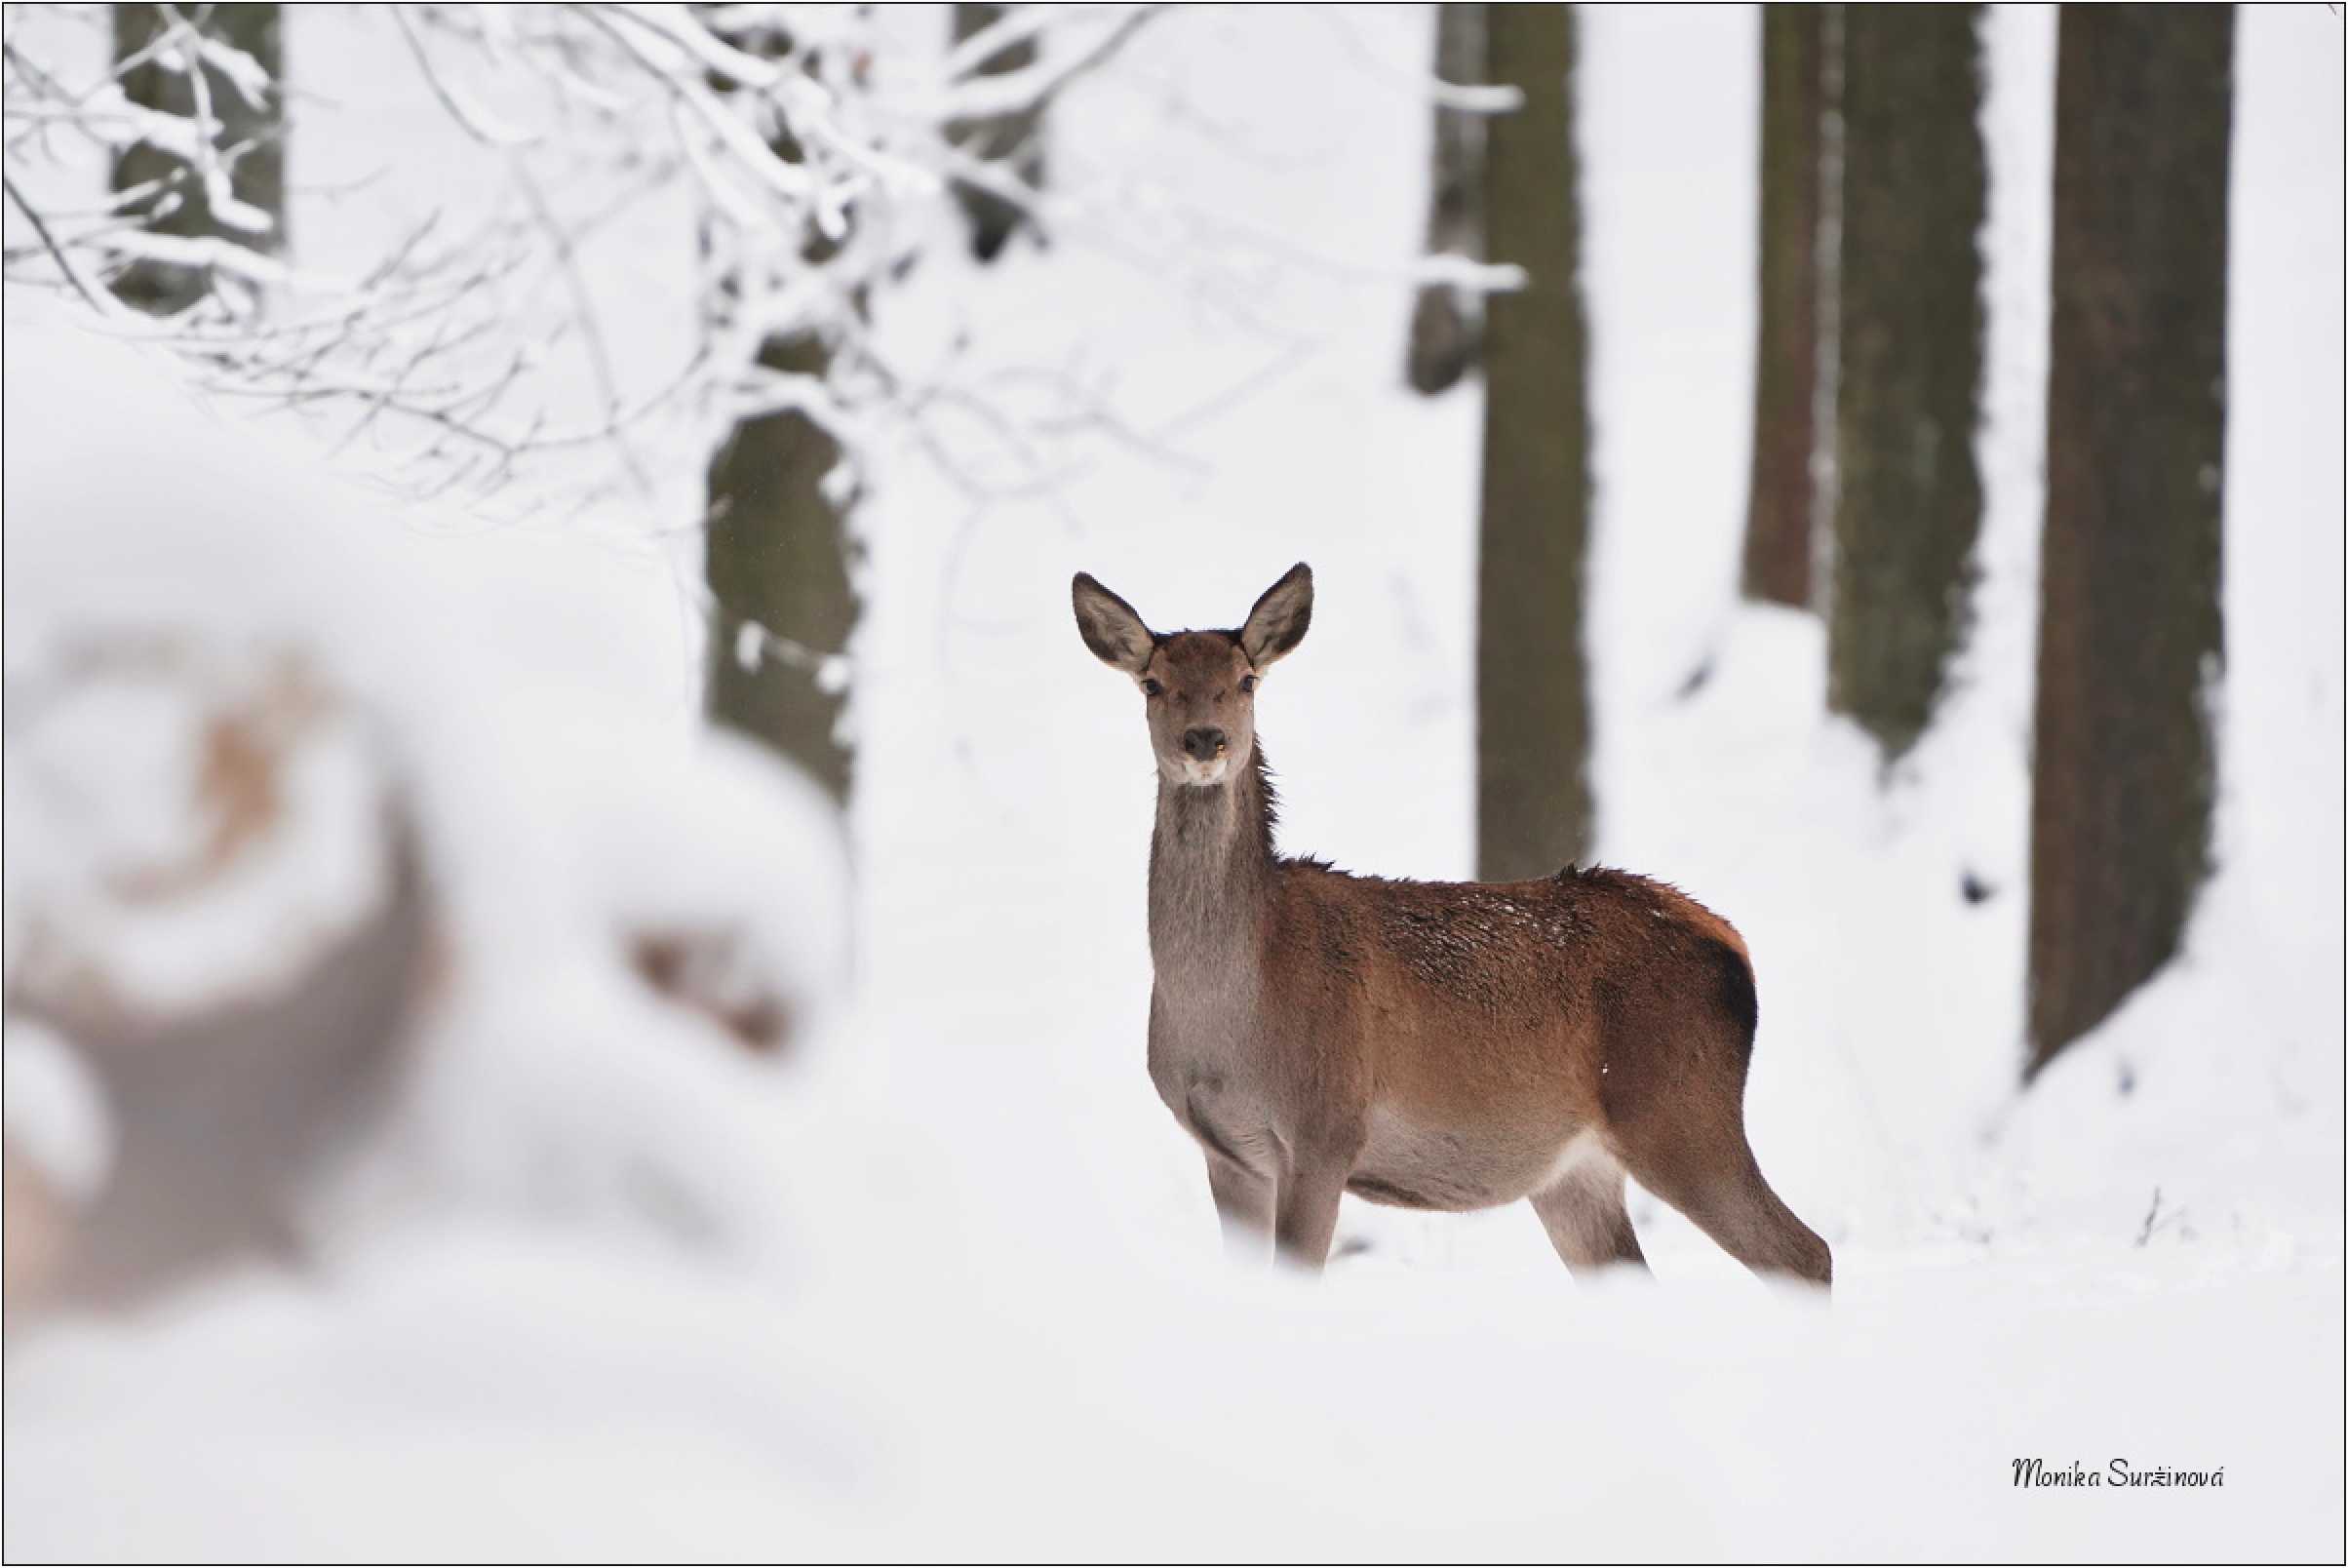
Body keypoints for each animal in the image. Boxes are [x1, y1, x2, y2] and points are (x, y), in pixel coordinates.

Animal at [1075, 563, 1831, 1286]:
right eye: (1152, 684)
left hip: (1681, 1112)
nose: (1206, 740)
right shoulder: (1226, 1152)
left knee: (1807, 1252)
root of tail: (1734, 948)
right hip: (1576, 1173)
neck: (1227, 1023)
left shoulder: (1325, 1130)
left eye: (1246, 679)